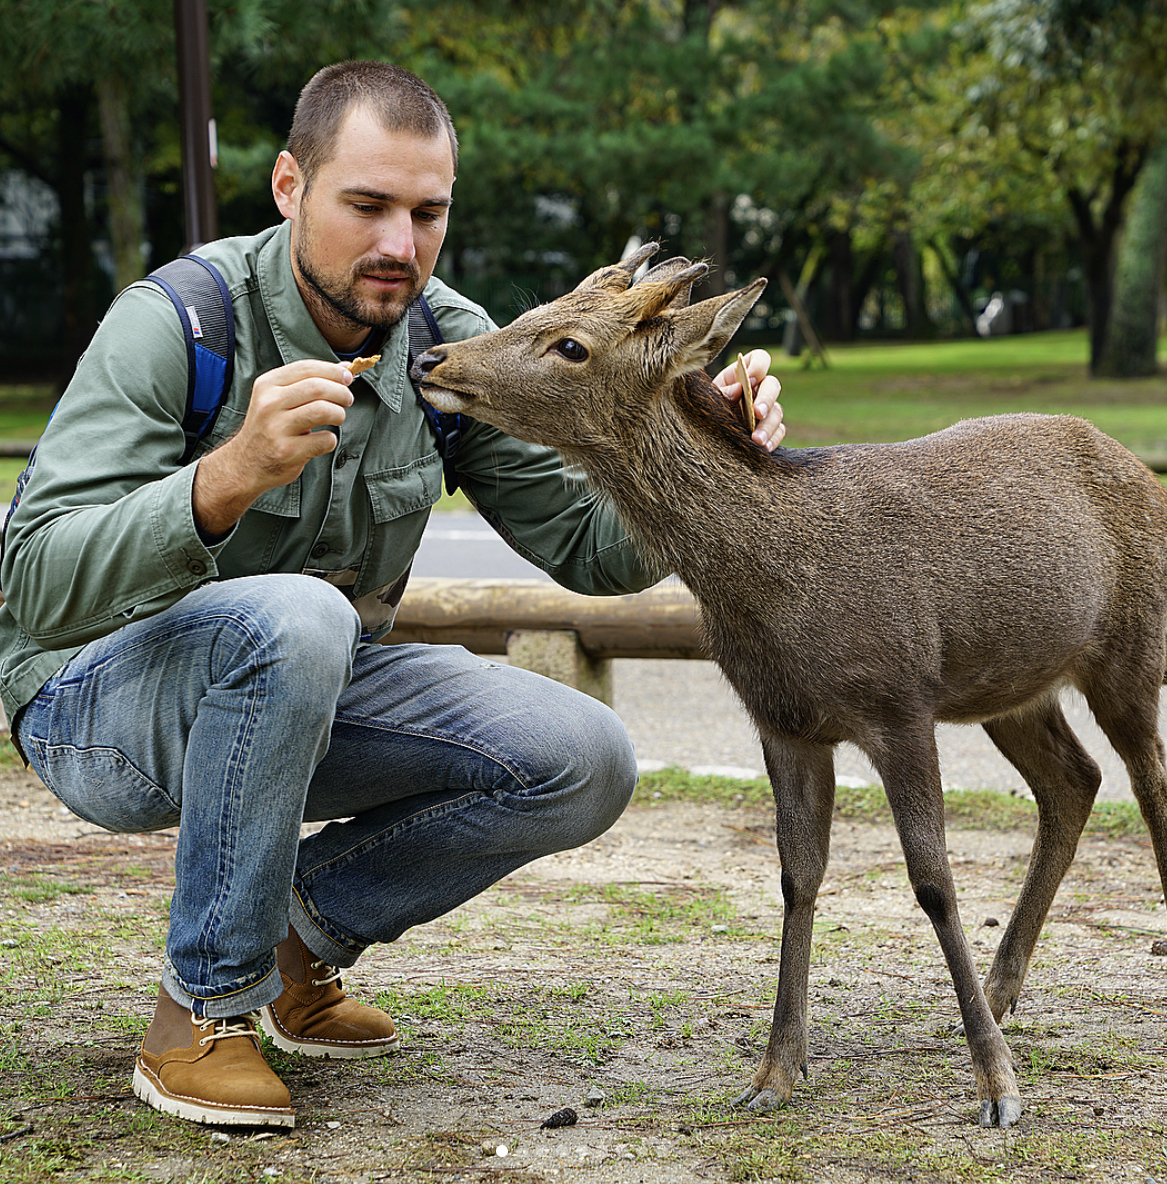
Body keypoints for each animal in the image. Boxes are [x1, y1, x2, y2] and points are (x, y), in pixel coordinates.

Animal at [407, 242, 1164, 1127]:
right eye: (532, 310)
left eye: (569, 344)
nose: (430, 359)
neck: (774, 587)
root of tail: (1137, 468)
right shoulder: (782, 720)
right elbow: (796, 876)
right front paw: (774, 1072)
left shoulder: (897, 699)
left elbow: (933, 882)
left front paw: (996, 1088)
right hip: (1008, 686)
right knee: (1073, 781)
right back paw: (1002, 989)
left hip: (1128, 648)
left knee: (1145, 782)